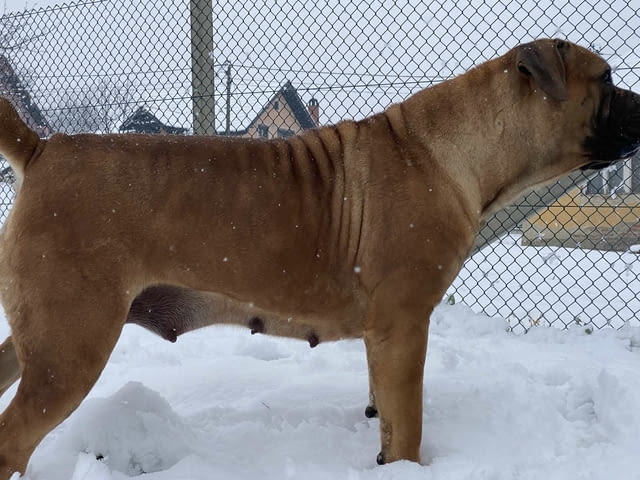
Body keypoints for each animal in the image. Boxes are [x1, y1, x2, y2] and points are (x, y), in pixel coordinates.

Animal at [0, 38, 636, 476]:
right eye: (605, 78)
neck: (458, 148)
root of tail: (44, 148)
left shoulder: (385, 336)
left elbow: (387, 413)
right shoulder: (404, 324)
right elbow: (409, 425)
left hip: (45, 338)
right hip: (69, 348)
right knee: (15, 438)